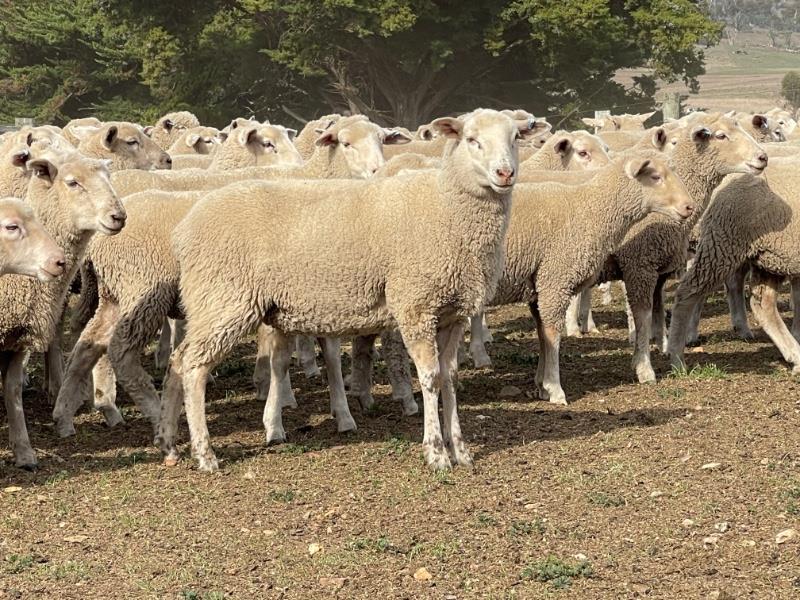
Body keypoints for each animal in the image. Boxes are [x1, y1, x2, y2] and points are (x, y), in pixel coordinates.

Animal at [0, 152, 126, 466]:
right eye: (72, 182)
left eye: (109, 177)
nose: (118, 216)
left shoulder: (18, 337)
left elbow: (12, 392)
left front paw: (24, 452)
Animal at [154, 109, 544, 474]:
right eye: (472, 140)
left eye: (514, 138)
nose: (505, 174)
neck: (446, 207)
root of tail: (184, 229)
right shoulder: (416, 306)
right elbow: (430, 379)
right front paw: (435, 452)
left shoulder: (454, 312)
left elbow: (448, 378)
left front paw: (461, 450)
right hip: (224, 299)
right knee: (192, 366)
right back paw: (205, 453)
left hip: (217, 302)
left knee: (177, 362)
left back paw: (169, 443)